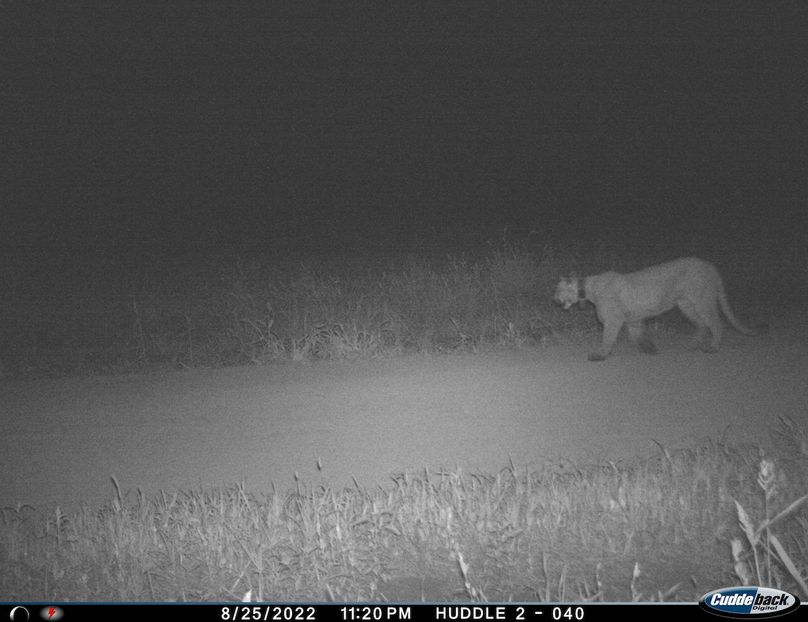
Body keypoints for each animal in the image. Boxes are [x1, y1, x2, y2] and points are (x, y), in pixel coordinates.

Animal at [553, 257, 760, 361]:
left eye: (558, 289)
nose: (554, 300)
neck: (588, 289)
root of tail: (710, 265)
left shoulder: (614, 320)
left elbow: (607, 338)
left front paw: (600, 355)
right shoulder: (633, 319)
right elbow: (638, 335)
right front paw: (649, 349)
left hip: (702, 300)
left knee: (716, 323)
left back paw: (713, 347)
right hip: (686, 304)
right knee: (701, 324)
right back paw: (694, 345)